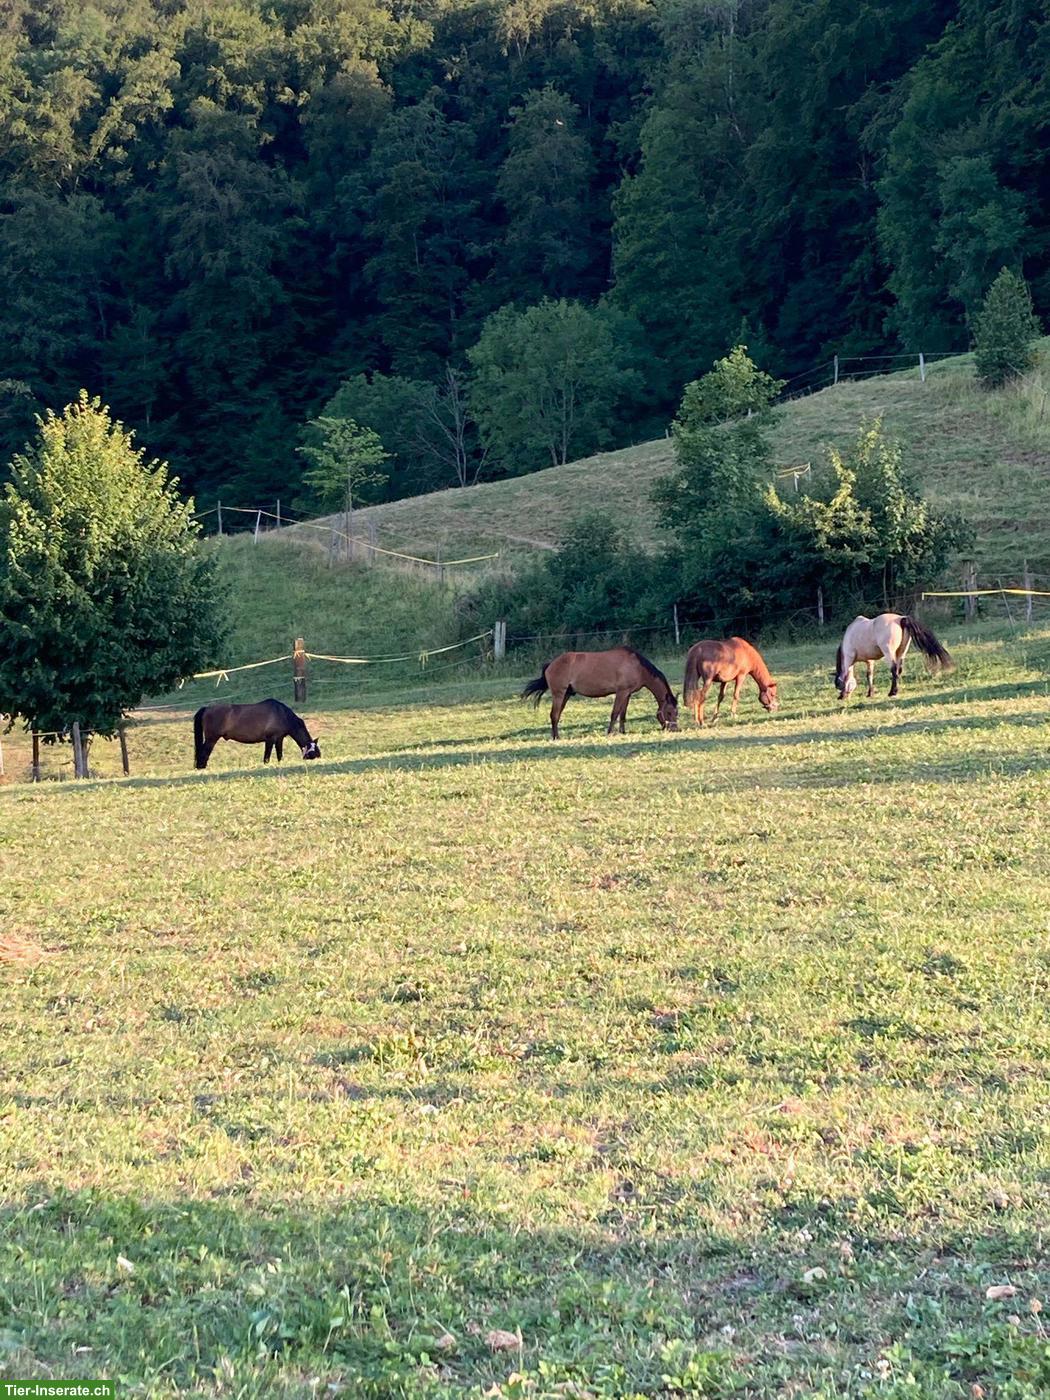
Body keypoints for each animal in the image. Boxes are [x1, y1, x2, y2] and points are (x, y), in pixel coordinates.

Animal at [521, 647, 679, 739]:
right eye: (669, 712)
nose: (675, 729)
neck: (637, 666)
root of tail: (551, 664)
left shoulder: (627, 694)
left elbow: (622, 714)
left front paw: (622, 732)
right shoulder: (621, 692)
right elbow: (615, 713)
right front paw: (609, 733)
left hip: (566, 695)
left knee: (556, 715)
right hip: (559, 694)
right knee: (554, 715)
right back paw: (557, 738)